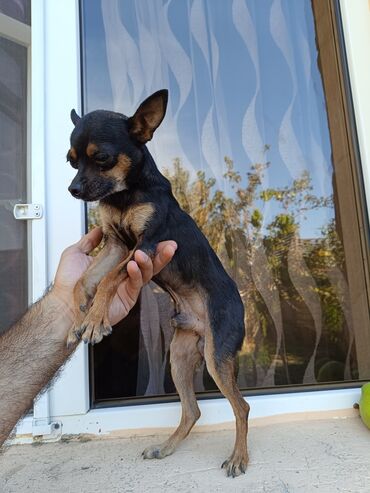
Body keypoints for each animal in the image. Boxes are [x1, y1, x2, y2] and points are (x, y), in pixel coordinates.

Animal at [66, 90, 250, 474]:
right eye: (70, 161)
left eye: (101, 158)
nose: (72, 189)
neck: (124, 195)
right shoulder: (117, 245)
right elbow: (86, 280)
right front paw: (81, 311)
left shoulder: (144, 247)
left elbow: (109, 280)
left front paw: (95, 320)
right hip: (180, 358)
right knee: (192, 410)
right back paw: (165, 448)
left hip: (217, 355)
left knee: (241, 407)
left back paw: (239, 457)